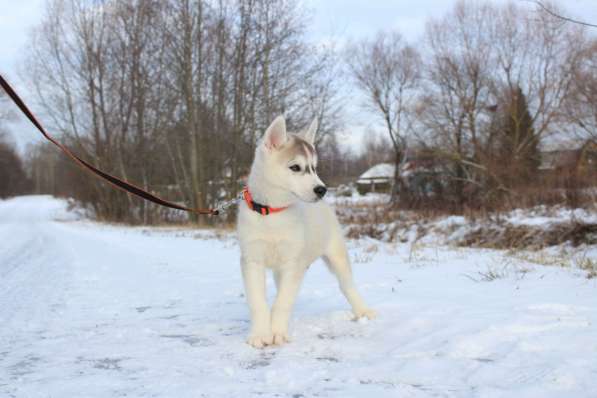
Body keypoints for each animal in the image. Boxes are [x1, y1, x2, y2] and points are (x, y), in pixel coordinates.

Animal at [236, 115, 372, 348]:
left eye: (314, 168)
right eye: (295, 167)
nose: (322, 189)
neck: (272, 213)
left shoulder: (293, 264)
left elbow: (282, 302)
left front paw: (278, 333)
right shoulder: (251, 260)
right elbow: (258, 302)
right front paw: (260, 334)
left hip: (336, 256)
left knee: (346, 285)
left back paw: (362, 310)